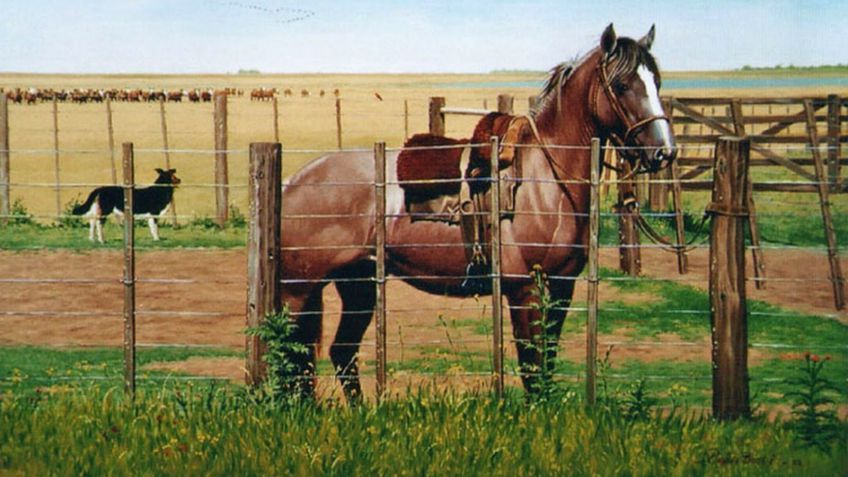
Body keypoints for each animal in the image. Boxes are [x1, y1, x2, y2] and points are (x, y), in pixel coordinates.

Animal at [278, 24, 677, 400]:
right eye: (622, 85)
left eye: (656, 81)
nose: (664, 152)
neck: (544, 179)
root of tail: (294, 181)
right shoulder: (525, 289)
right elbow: (533, 368)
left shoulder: (561, 286)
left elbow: (547, 365)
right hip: (298, 292)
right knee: (290, 354)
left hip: (356, 285)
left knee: (338, 353)